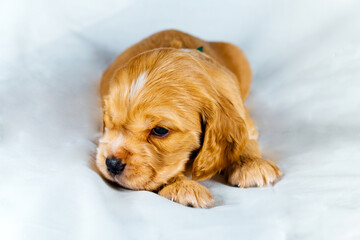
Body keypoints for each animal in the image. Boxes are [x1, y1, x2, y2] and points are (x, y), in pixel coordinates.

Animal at [97, 29, 282, 208]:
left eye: (160, 130)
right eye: (108, 120)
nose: (112, 164)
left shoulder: (241, 112)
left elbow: (246, 138)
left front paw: (252, 164)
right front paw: (182, 187)